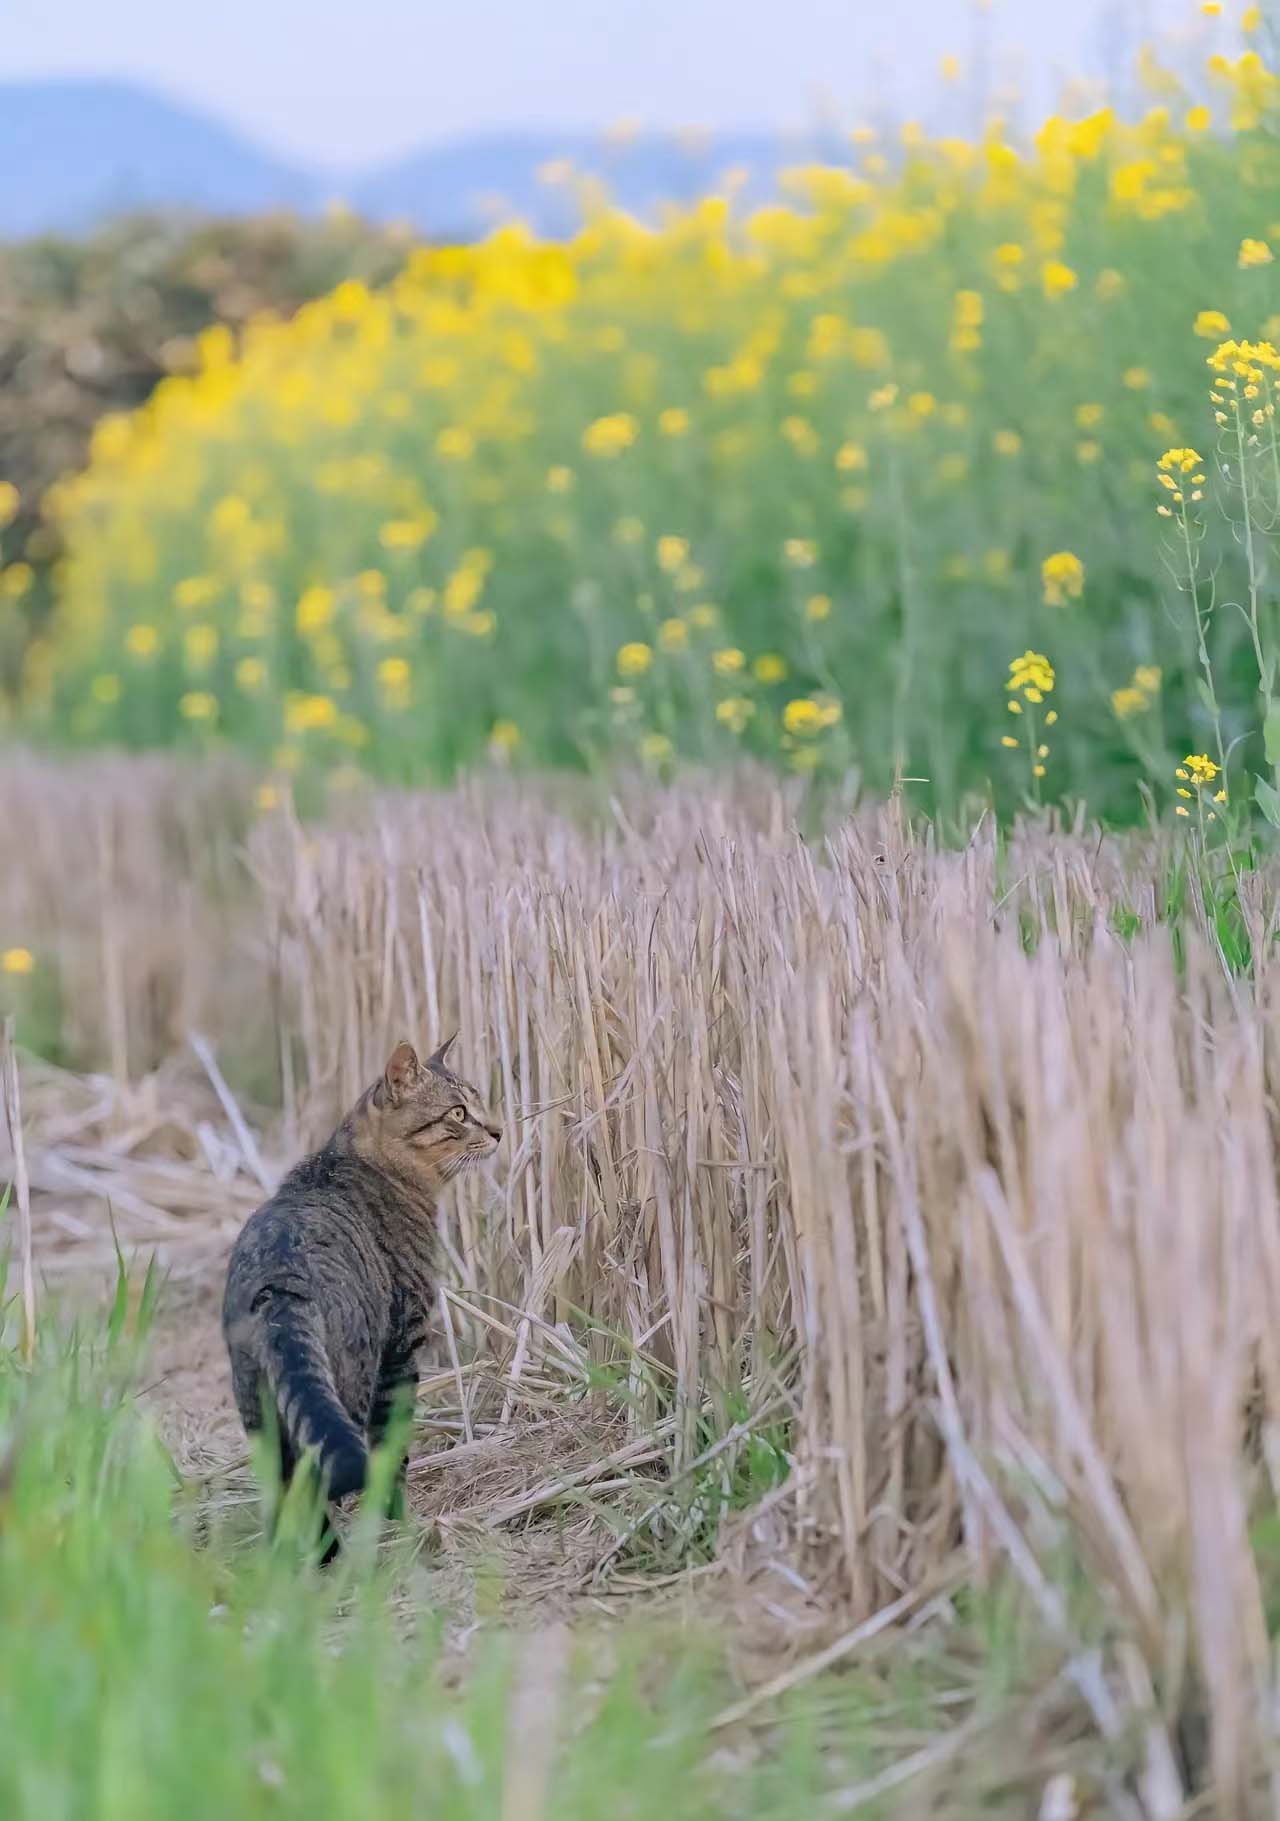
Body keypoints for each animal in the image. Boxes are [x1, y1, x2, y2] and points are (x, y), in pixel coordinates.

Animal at [220, 1041, 502, 1551]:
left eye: (479, 1103)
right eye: (458, 1113)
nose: (498, 1130)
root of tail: (282, 1282)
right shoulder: (403, 1343)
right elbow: (393, 1446)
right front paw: (396, 1518)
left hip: (260, 1409)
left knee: (282, 1486)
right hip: (349, 1378)